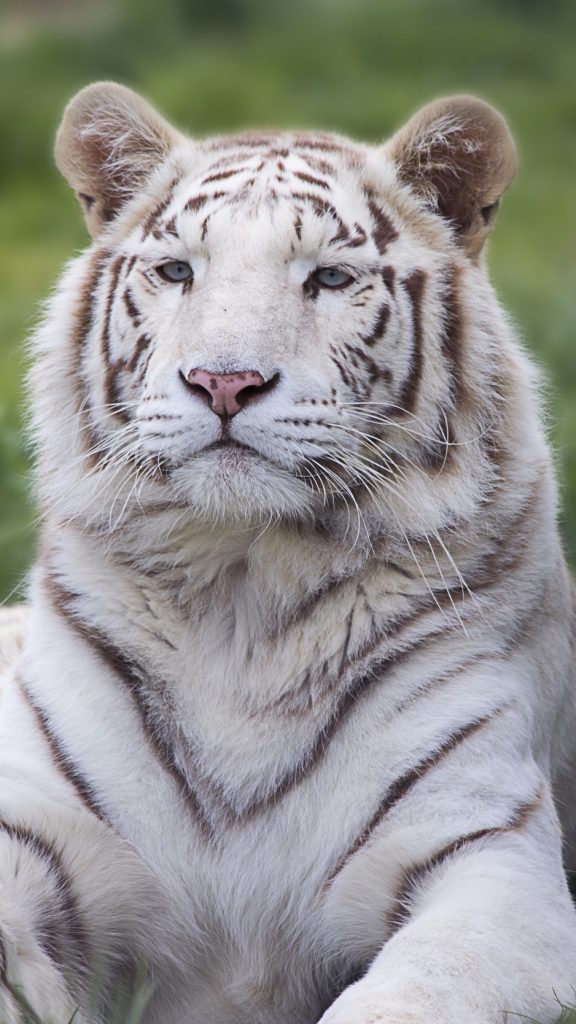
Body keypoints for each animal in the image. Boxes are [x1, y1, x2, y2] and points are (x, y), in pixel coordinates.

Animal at [0, 80, 575, 1024]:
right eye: (177, 271)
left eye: (329, 278)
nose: (224, 382)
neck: (244, 591)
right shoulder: (36, 828)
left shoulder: (488, 861)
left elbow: (409, 997)